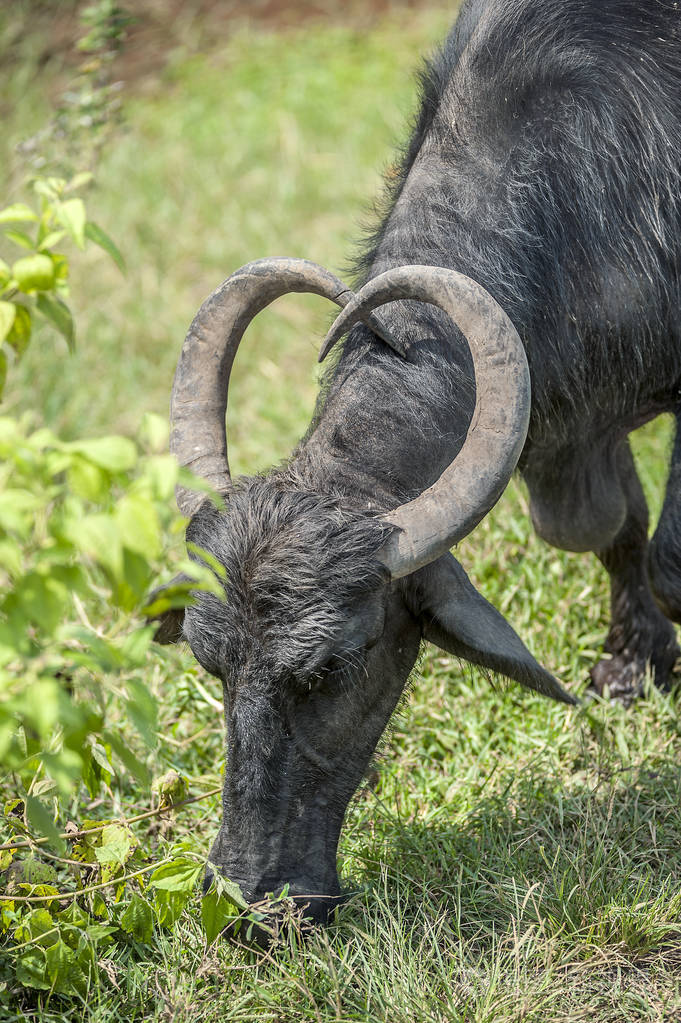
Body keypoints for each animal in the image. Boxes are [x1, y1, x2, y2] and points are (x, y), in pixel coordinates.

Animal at [152, 0, 678, 928]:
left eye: (331, 667)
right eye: (211, 664)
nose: (251, 905)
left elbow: (671, 556)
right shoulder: (573, 421)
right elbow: (611, 528)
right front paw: (633, 662)